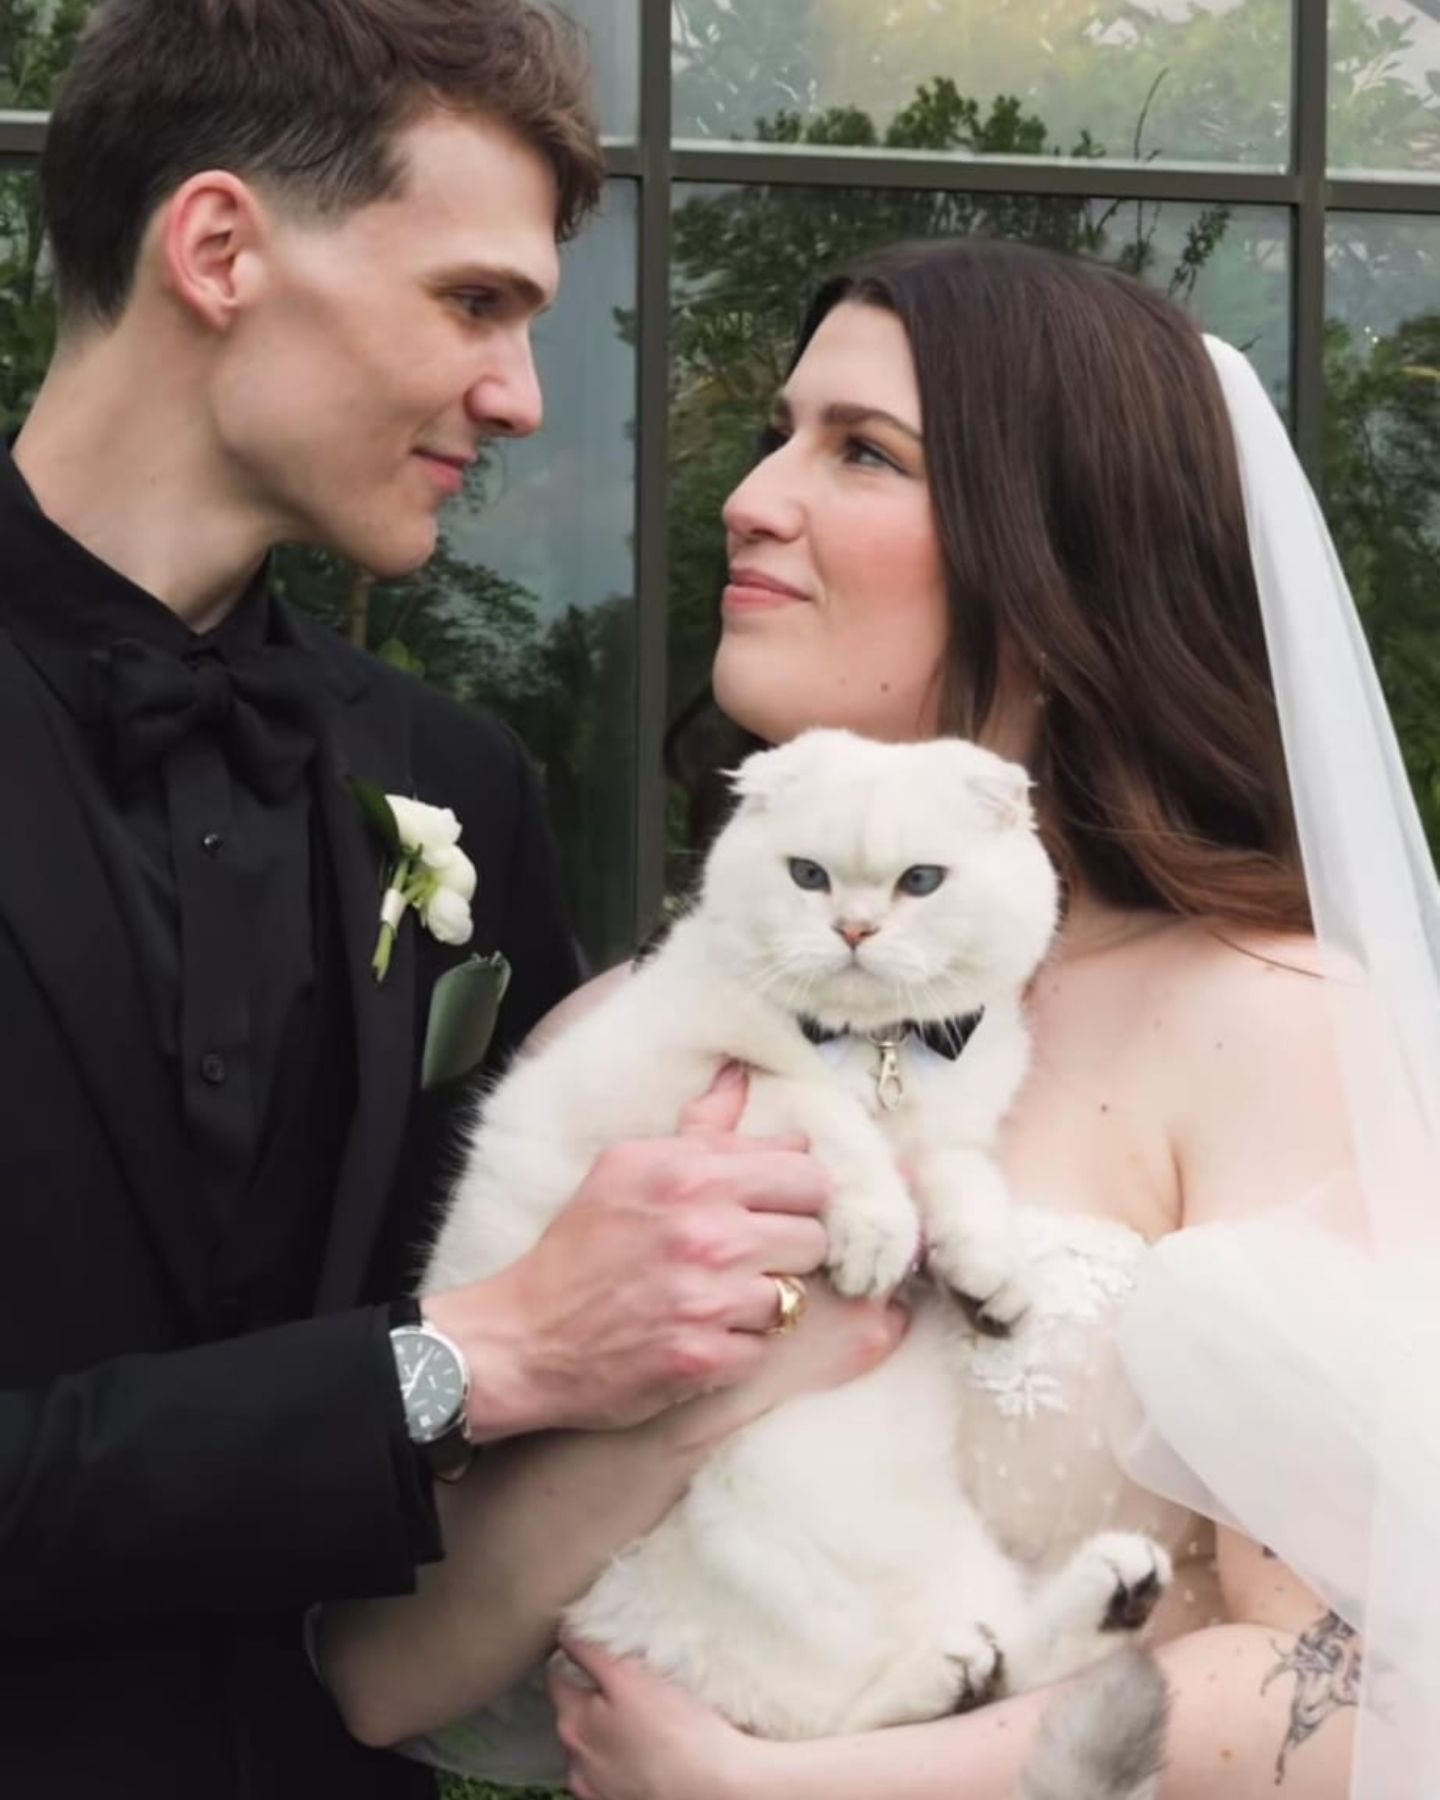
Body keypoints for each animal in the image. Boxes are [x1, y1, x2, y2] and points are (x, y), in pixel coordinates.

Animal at [424, 734, 1166, 1785]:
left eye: (921, 882)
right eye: (807, 876)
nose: (852, 928)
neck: (879, 1052)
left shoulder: (952, 1129)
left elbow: (961, 1177)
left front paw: (988, 1280)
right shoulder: (689, 1090)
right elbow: (815, 1109)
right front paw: (878, 1236)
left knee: (997, 1680)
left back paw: (1106, 1598)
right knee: (831, 1726)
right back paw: (954, 1670)